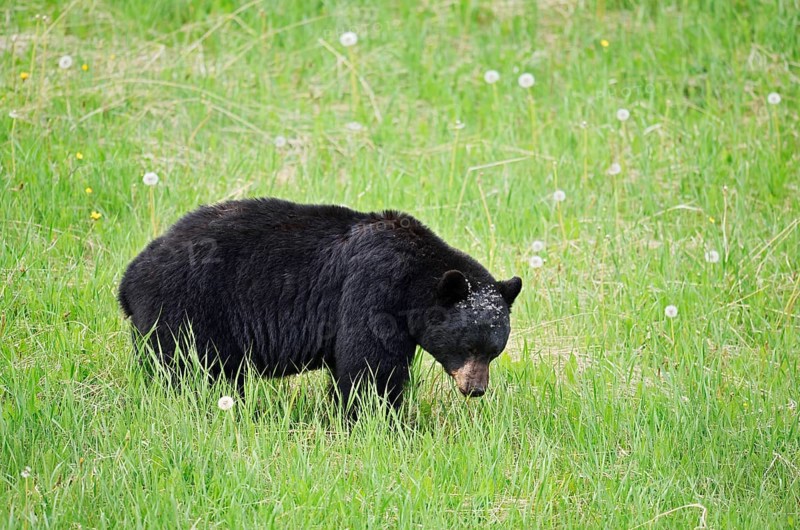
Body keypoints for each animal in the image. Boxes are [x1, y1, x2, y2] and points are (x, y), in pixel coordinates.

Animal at [118, 197, 521, 413]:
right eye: (468, 345)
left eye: (494, 351)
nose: (476, 388)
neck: (414, 279)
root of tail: (129, 278)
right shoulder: (373, 288)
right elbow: (368, 365)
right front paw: (378, 419)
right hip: (187, 308)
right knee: (192, 368)